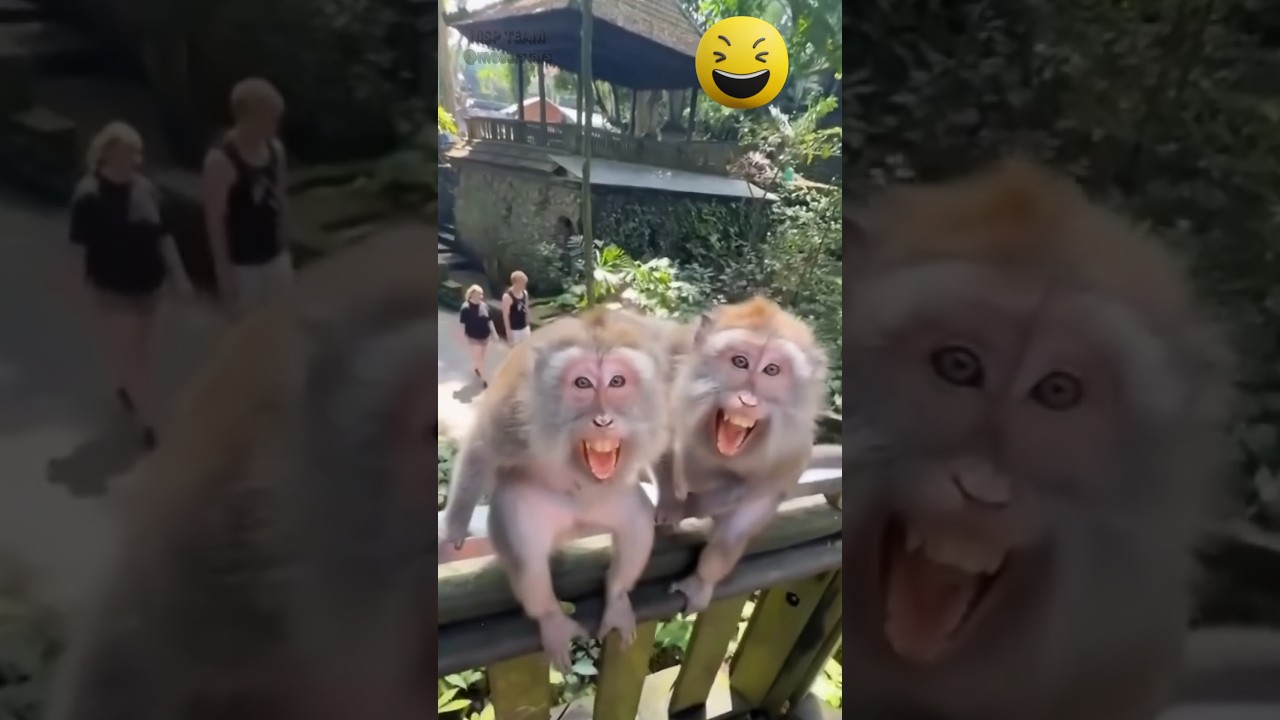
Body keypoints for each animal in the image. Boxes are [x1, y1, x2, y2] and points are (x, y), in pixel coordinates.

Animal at [438, 307, 674, 671]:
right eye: (582, 383)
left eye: (617, 381)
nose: (603, 420)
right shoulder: (515, 409)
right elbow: (483, 447)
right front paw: (454, 527)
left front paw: (671, 501)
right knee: (524, 549)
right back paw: (550, 617)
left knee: (636, 523)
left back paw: (618, 596)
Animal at [651, 296, 830, 614]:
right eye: (740, 362)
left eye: (772, 370)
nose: (747, 400)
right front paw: (672, 504)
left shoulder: (791, 451)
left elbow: (750, 507)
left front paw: (703, 579)